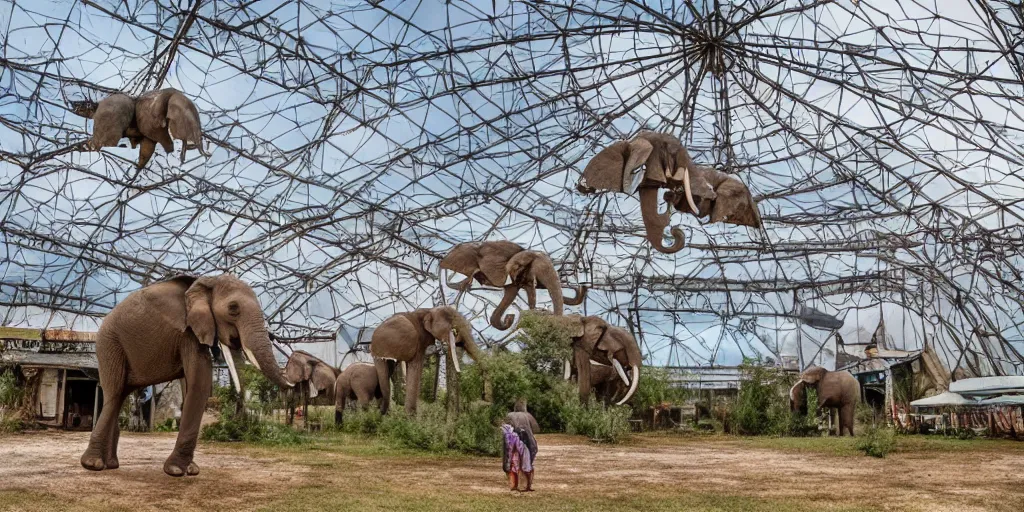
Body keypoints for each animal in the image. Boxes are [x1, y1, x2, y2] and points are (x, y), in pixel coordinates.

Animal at [79, 274, 292, 477]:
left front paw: (190, 470)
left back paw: (111, 465)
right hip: (109, 344)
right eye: (233, 308)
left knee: (120, 395)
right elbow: (199, 383)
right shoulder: (187, 331)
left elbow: (193, 384)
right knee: (114, 394)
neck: (207, 281)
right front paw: (176, 471)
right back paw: (93, 464)